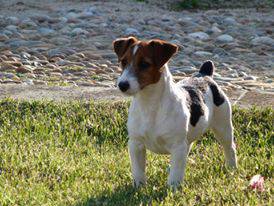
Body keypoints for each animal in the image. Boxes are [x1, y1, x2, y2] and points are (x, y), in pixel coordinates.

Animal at [112, 36, 237, 187]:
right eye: (123, 61)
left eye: (144, 64)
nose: (122, 85)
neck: (149, 104)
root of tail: (204, 74)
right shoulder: (136, 144)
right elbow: (138, 170)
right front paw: (138, 186)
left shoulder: (177, 146)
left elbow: (176, 173)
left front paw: (173, 188)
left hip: (223, 126)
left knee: (230, 147)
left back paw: (232, 169)